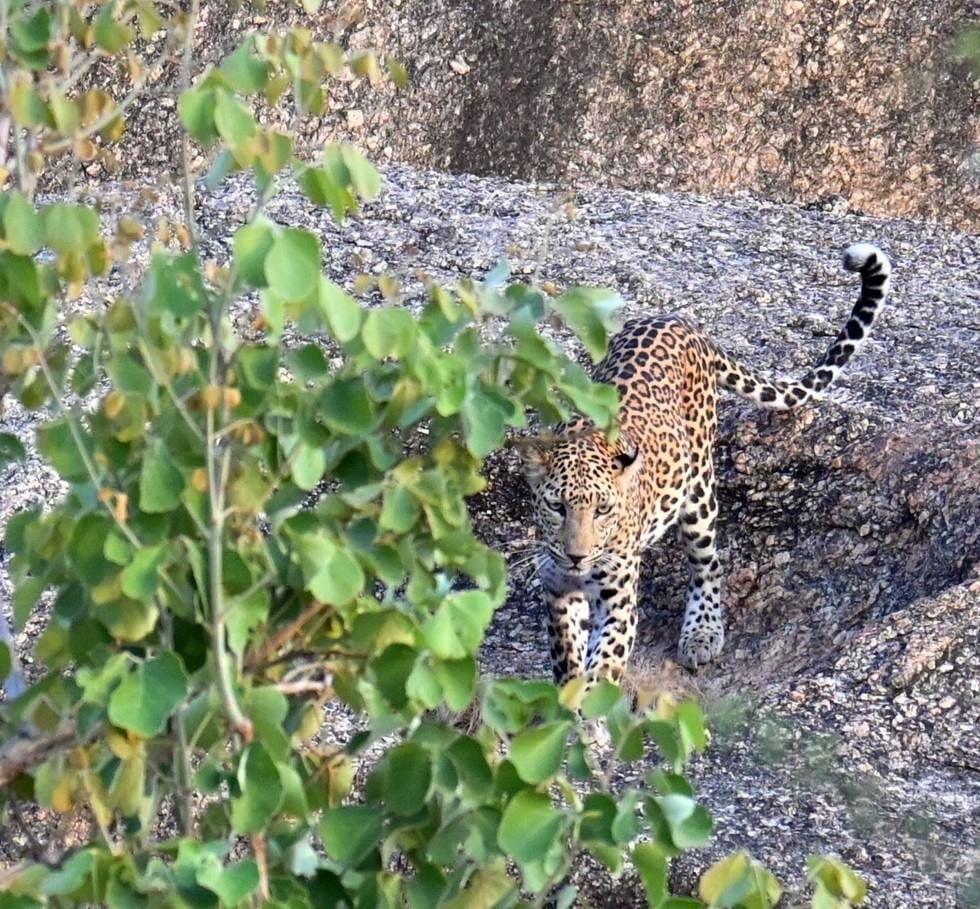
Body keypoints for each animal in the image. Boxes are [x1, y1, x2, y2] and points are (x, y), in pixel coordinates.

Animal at [519, 243, 892, 684]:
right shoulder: (557, 588)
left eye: (603, 510)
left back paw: (702, 632)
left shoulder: (618, 600)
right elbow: (566, 656)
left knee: (709, 564)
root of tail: (683, 323)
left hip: (698, 494)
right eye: (556, 507)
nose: (577, 555)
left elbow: (603, 667)